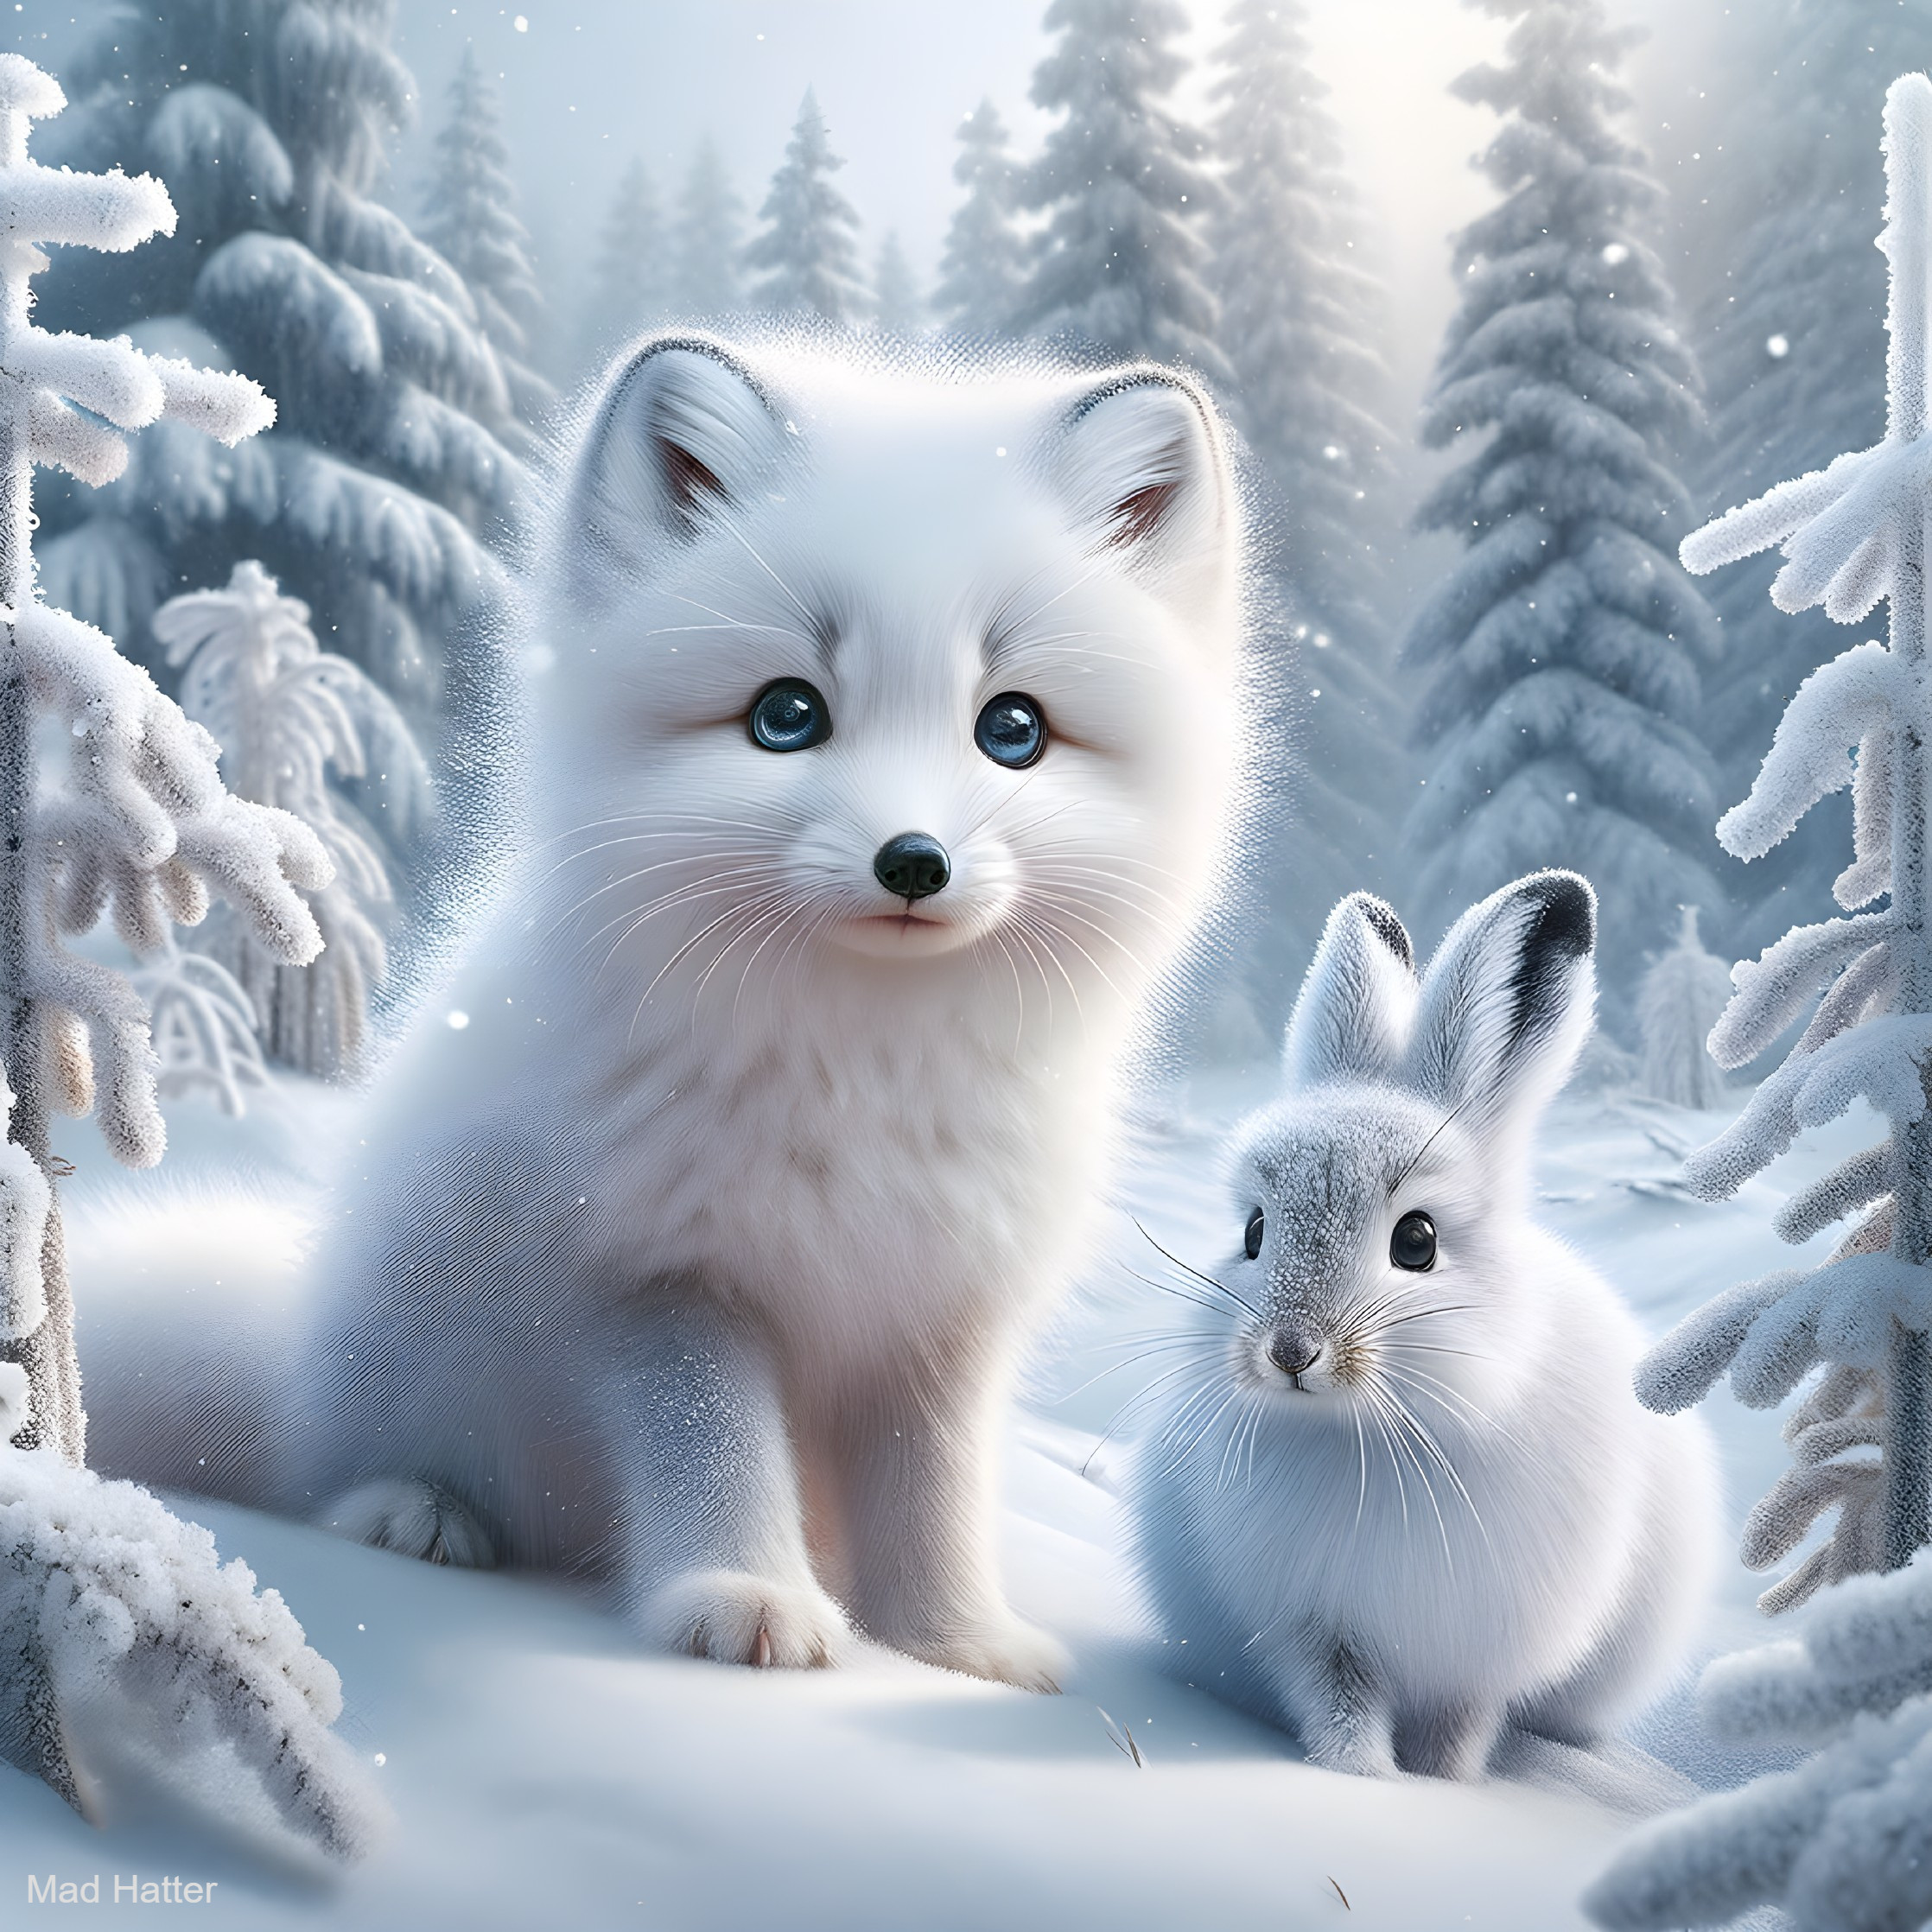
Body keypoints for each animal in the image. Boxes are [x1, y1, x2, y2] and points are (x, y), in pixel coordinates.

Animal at [1126, 871, 1719, 1779]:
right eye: (1256, 1231)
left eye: (1417, 1241)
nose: (1291, 1351)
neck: (1367, 1433)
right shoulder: (1314, 1631)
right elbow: (1338, 1704)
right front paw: (1361, 1777)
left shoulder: (1480, 1657)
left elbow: (1461, 1728)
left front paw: (1443, 1786)